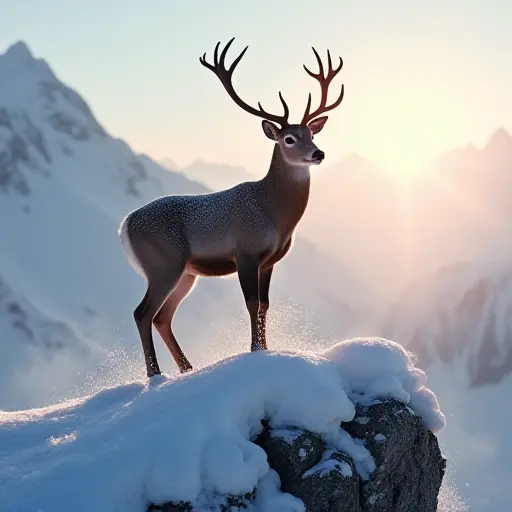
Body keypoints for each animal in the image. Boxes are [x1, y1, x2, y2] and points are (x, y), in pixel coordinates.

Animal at [118, 38, 346, 378]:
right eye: (289, 139)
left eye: (311, 133)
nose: (318, 153)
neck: (274, 214)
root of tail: (125, 226)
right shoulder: (245, 252)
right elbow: (251, 303)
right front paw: (255, 351)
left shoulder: (269, 261)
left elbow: (265, 304)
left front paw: (265, 348)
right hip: (163, 262)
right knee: (142, 312)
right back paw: (155, 374)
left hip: (186, 272)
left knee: (162, 316)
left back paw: (187, 368)